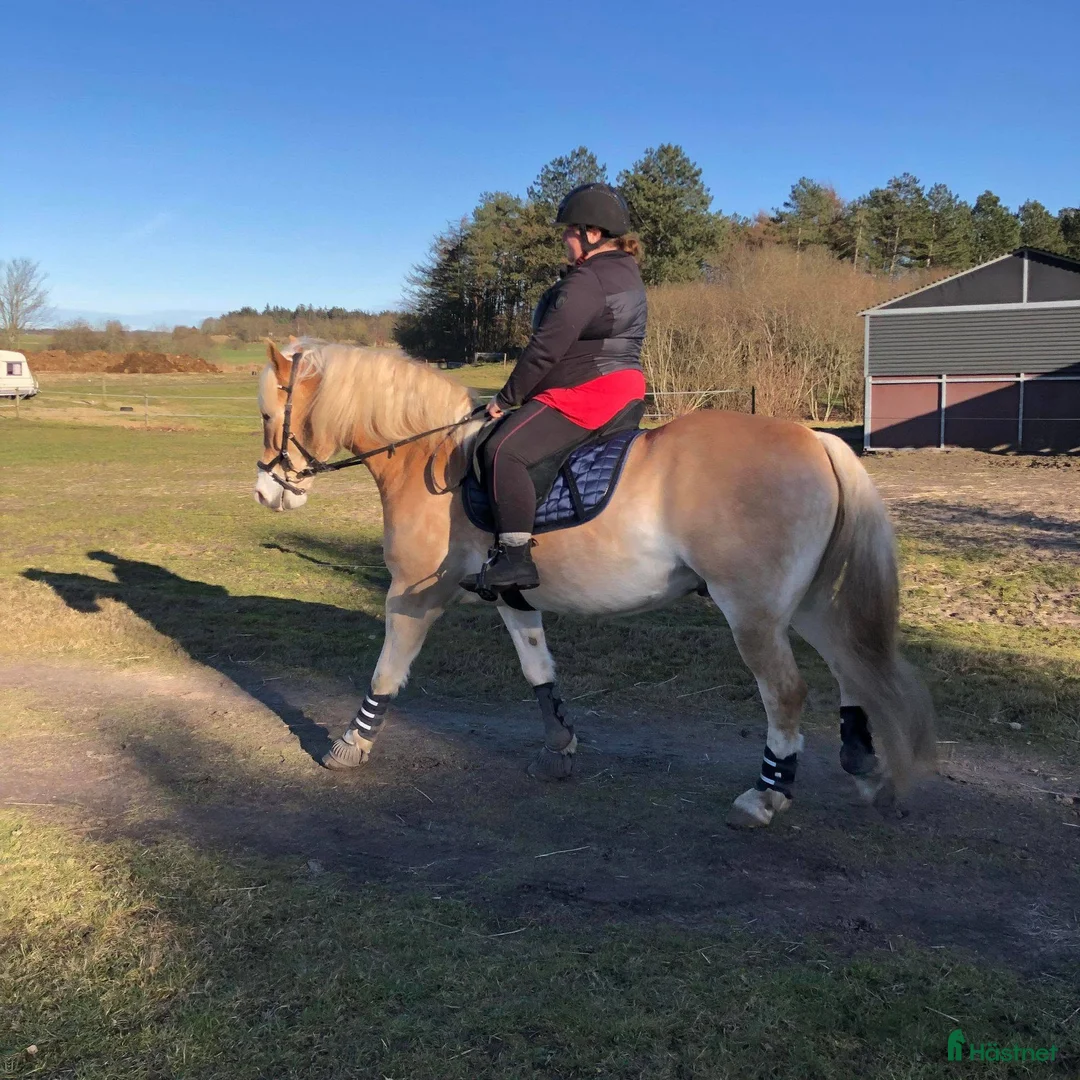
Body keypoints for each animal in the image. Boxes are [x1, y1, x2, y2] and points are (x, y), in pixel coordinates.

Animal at [254, 339, 936, 828]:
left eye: (266, 416)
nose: (266, 492)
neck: (436, 458)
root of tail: (815, 440)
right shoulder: (512, 595)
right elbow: (538, 668)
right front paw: (559, 747)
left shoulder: (414, 594)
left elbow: (386, 672)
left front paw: (349, 746)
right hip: (813, 603)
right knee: (853, 669)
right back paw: (864, 765)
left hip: (754, 612)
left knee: (788, 693)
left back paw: (767, 797)